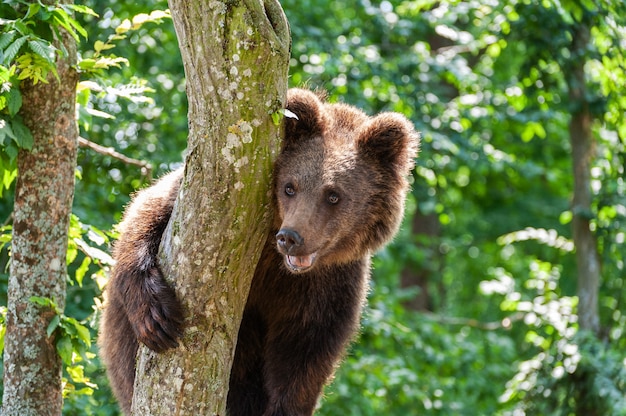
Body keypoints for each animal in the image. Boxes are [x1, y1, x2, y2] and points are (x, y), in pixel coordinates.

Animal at [98, 88, 420, 416]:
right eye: (290, 187)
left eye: (333, 195)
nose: (290, 237)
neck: (274, 261)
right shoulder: (184, 199)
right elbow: (143, 219)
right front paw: (156, 318)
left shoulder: (328, 286)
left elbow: (304, 354)